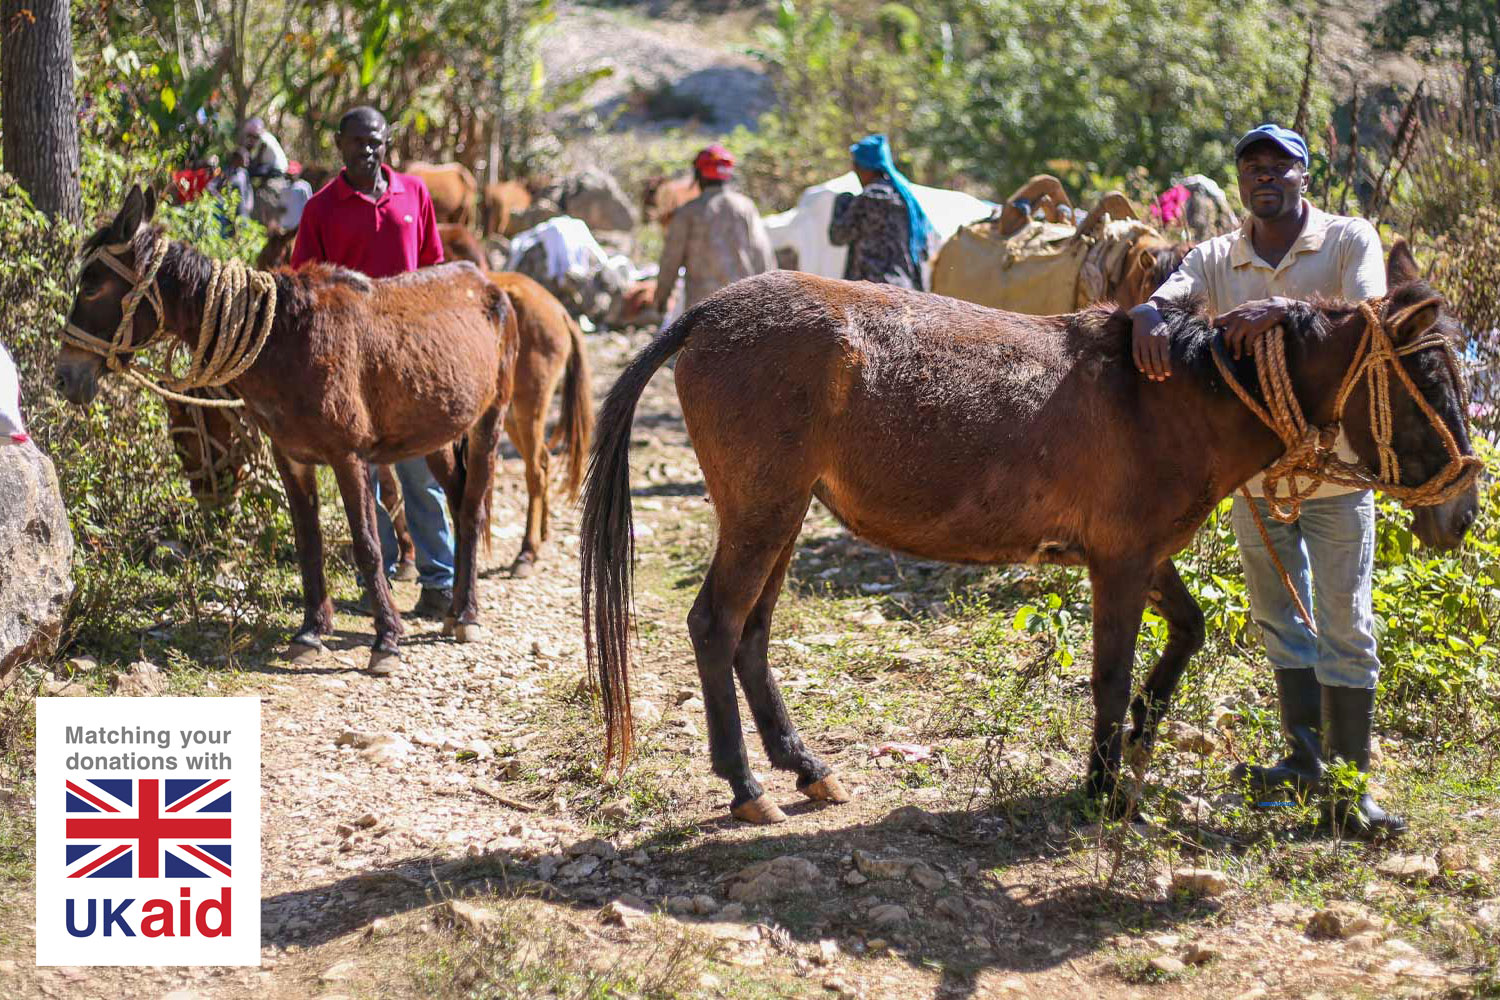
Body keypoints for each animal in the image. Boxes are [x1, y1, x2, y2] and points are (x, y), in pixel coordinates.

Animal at [60, 187, 522, 671]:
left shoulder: (348, 457)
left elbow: (367, 546)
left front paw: (387, 639)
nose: (63, 376)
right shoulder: (292, 458)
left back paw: (466, 614)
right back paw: (453, 609)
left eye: (90, 285)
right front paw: (310, 631)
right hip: (437, 433)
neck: (285, 340)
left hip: (489, 422)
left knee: (471, 510)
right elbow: (308, 542)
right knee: (456, 500)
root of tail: (485, 281)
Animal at [579, 239, 1482, 821]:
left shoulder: (1142, 559)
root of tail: (707, 311)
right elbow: (1110, 675)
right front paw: (1102, 788)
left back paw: (804, 769)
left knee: (752, 634)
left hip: (783, 512)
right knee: (716, 625)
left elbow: (1186, 635)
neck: (1177, 398)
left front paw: (1136, 747)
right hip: (764, 510)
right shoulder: (1120, 566)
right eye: (1429, 379)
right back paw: (746, 786)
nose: (1463, 516)